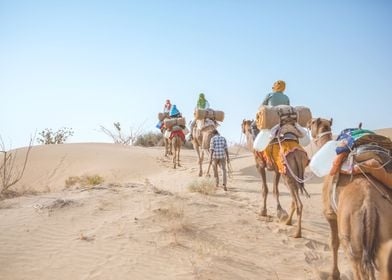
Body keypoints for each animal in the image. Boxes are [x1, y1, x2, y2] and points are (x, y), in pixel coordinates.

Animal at [310, 117, 392, 278]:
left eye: (311, 123)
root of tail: (369, 204)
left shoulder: (330, 213)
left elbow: (333, 243)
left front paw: (334, 275)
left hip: (351, 236)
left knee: (357, 265)